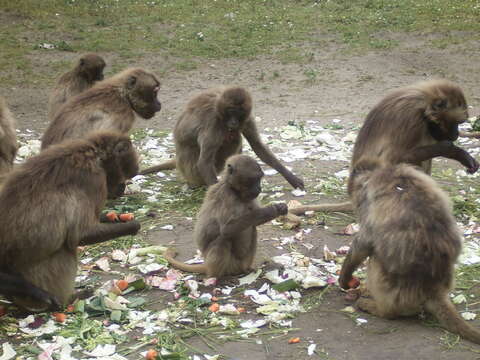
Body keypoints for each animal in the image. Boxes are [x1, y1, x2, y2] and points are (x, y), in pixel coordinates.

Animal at [0, 132, 142, 312]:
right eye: (124, 177)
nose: (122, 189)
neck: (95, 153)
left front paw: (112, 217)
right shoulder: (94, 180)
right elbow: (81, 235)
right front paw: (132, 226)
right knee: (67, 248)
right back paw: (68, 300)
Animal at [140, 87, 304, 190]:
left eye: (239, 113)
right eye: (231, 112)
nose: (233, 122)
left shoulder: (247, 119)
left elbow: (257, 146)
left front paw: (291, 177)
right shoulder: (213, 122)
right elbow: (204, 162)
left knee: (234, 136)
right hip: (190, 169)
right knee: (229, 139)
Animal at [286, 79, 478, 214]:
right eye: (455, 123)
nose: (456, 135)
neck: (422, 106)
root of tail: (353, 197)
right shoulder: (410, 118)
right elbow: (395, 158)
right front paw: (454, 151)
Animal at [338, 159, 480, 344]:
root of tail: (434, 289)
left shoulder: (369, 204)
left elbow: (364, 243)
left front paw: (344, 277)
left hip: (395, 291)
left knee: (376, 259)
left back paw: (382, 310)